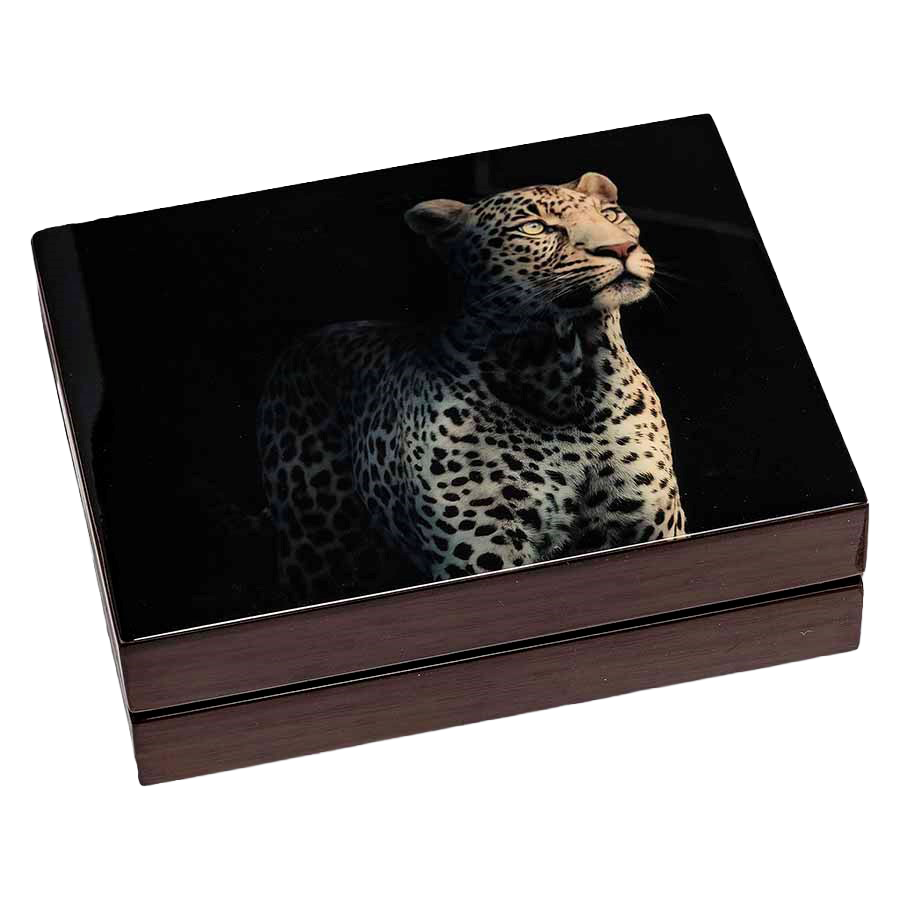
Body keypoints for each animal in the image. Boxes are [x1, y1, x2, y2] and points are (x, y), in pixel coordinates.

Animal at [257, 172, 686, 602]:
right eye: (535, 228)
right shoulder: (483, 553)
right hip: (317, 550)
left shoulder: (650, 525)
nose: (620, 248)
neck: (565, 382)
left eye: (611, 215)